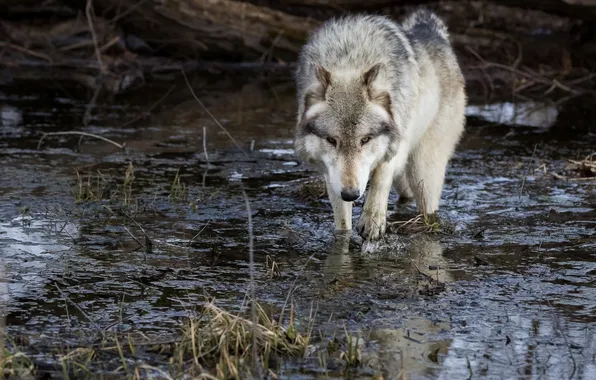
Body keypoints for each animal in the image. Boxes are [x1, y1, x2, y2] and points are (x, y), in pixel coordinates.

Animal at [294, 8, 466, 246]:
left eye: (365, 139)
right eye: (331, 140)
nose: (351, 194)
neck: (350, 59)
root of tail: (431, 32)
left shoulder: (396, 145)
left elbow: (380, 178)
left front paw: (373, 220)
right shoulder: (332, 174)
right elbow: (342, 221)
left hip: (423, 170)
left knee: (428, 208)